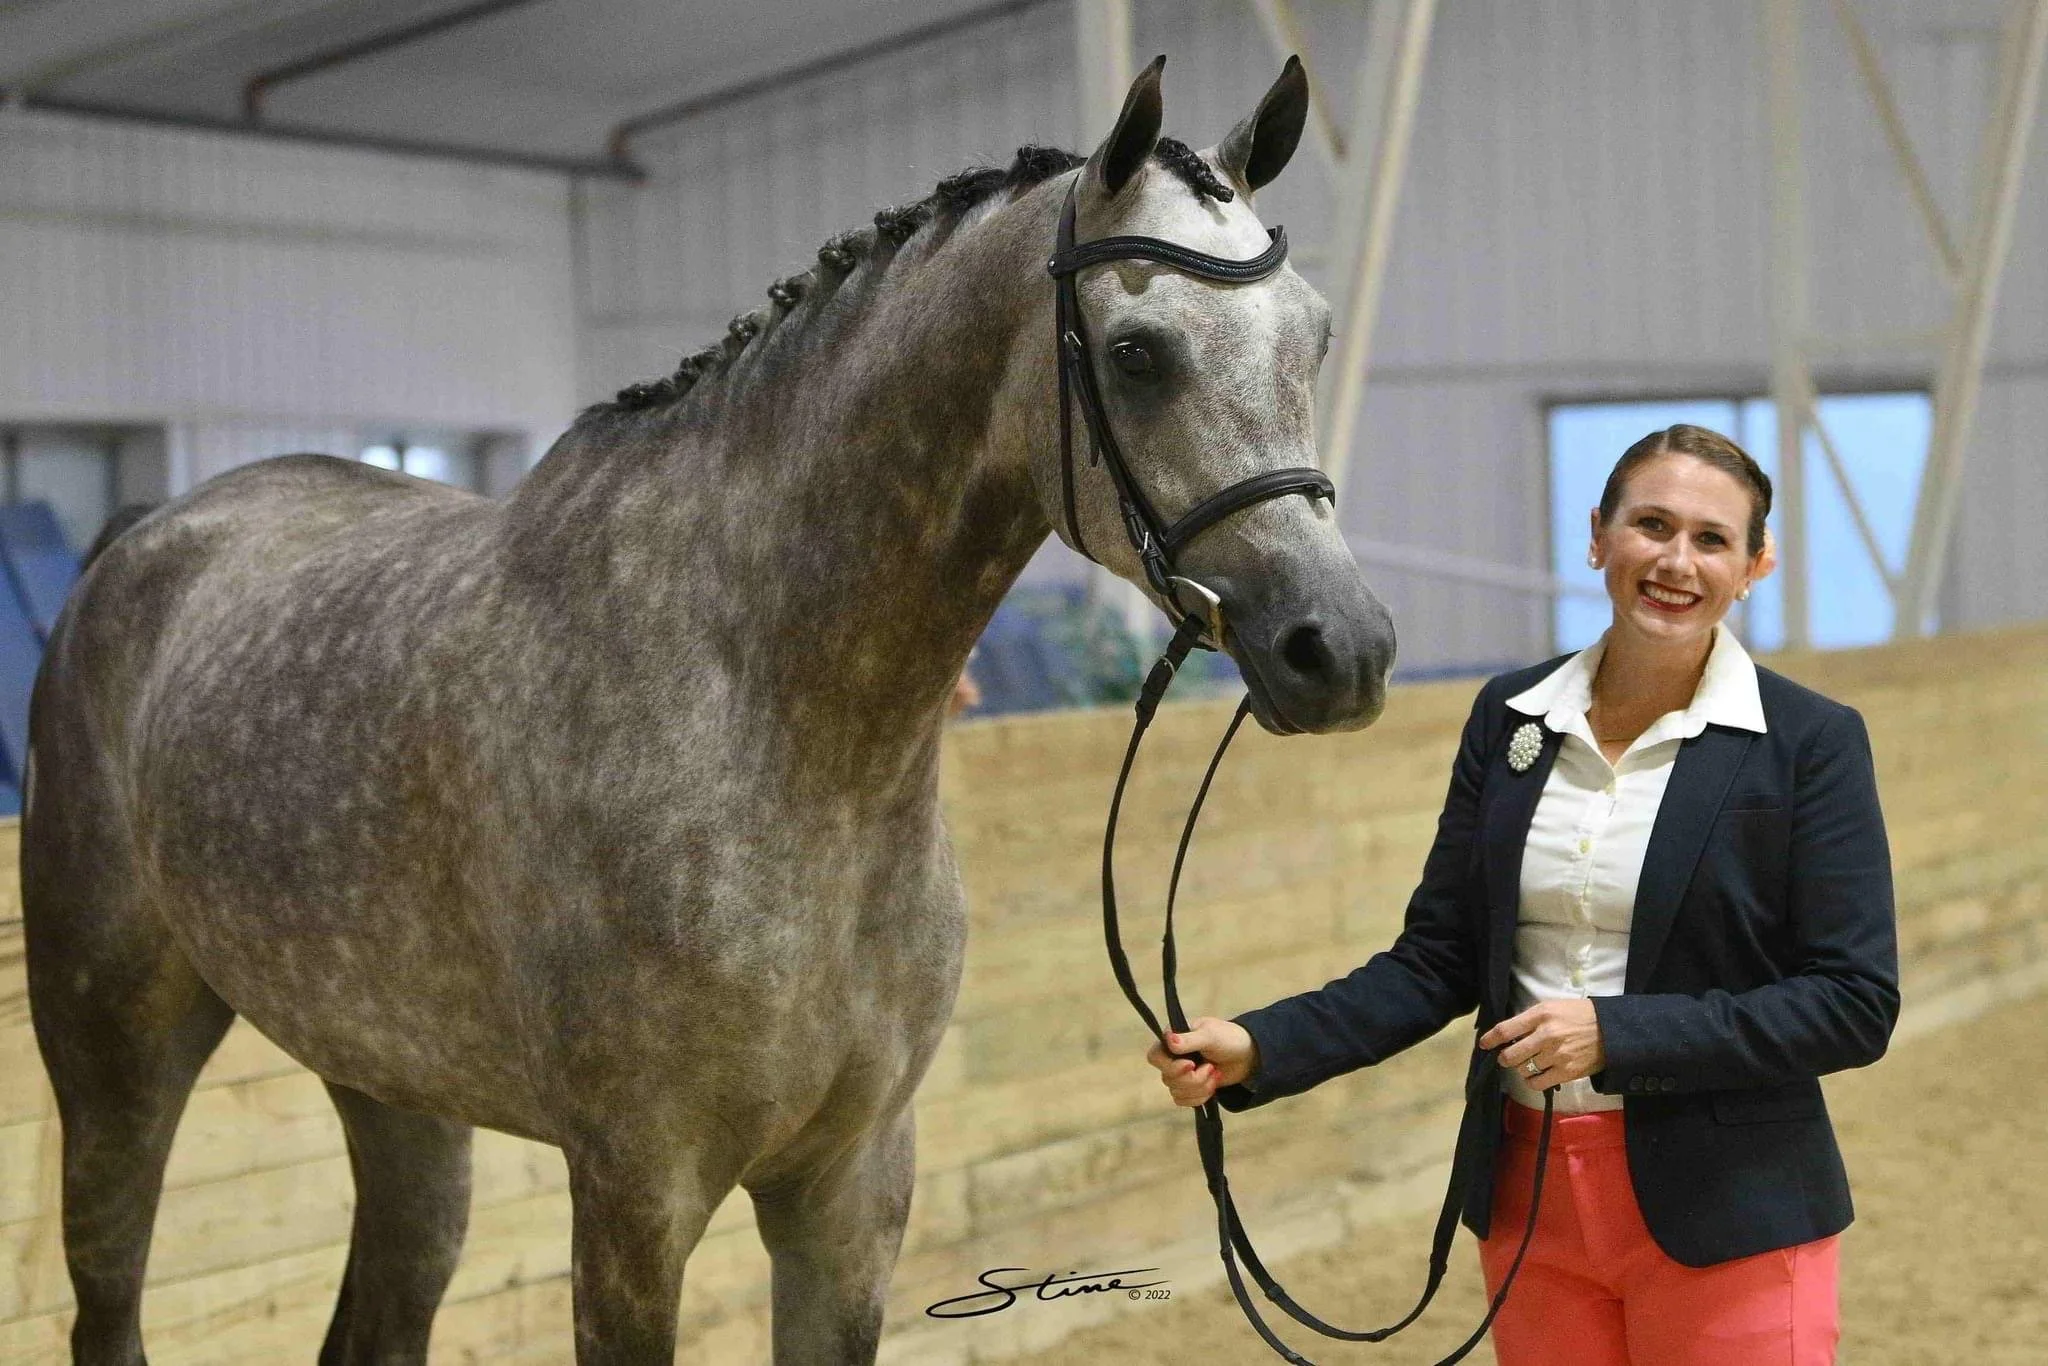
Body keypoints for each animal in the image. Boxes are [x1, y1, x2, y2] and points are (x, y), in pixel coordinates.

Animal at [23, 58, 1395, 1364]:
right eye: (1135, 352)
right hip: (114, 1058)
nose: (1340, 650)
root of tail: (145, 535)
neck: (779, 725)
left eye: (1316, 337)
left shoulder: (849, 1186)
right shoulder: (637, 1191)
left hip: (394, 1089)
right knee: (108, 1308)